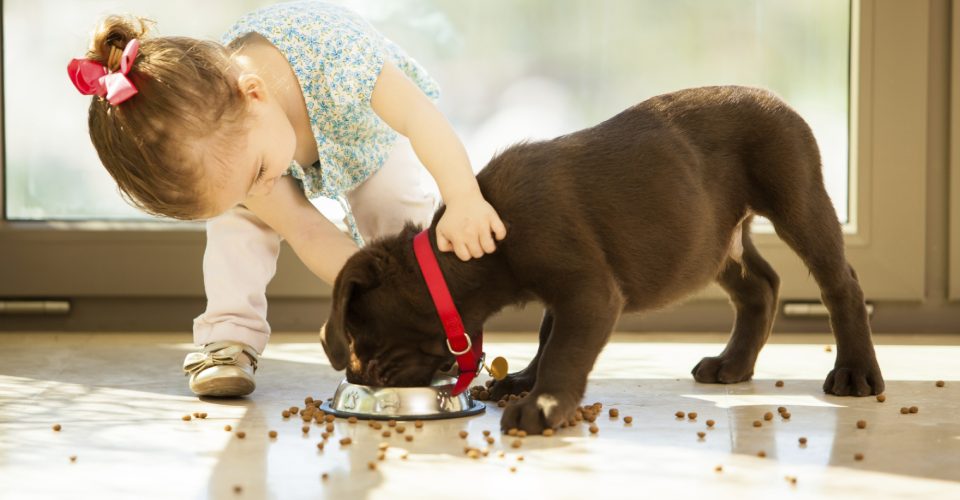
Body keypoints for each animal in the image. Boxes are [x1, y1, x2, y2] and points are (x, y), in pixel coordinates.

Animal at [322, 86, 884, 434]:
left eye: (361, 336)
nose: (359, 376)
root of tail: (776, 98)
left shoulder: (587, 290)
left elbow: (564, 349)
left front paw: (542, 405)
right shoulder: (568, 291)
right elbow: (548, 336)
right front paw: (523, 382)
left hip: (797, 198)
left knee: (841, 283)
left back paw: (855, 373)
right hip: (711, 239)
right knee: (760, 285)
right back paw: (733, 364)